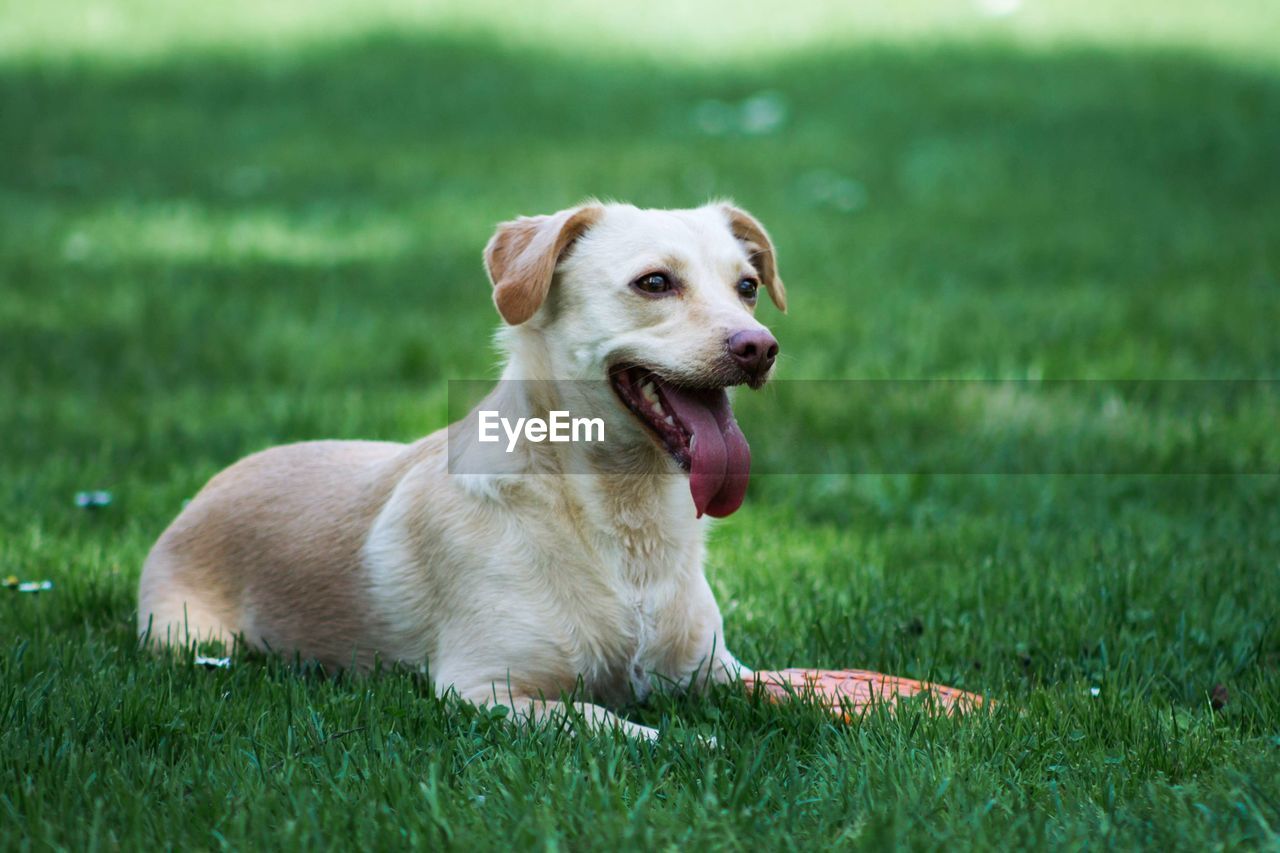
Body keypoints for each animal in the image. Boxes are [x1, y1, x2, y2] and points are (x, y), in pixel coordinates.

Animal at [137, 201, 778, 737]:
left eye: (747, 287)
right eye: (654, 283)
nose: (760, 347)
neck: (626, 515)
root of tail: (208, 487)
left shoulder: (716, 670)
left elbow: (784, 685)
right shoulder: (484, 690)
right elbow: (615, 723)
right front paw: (696, 742)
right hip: (187, 638)